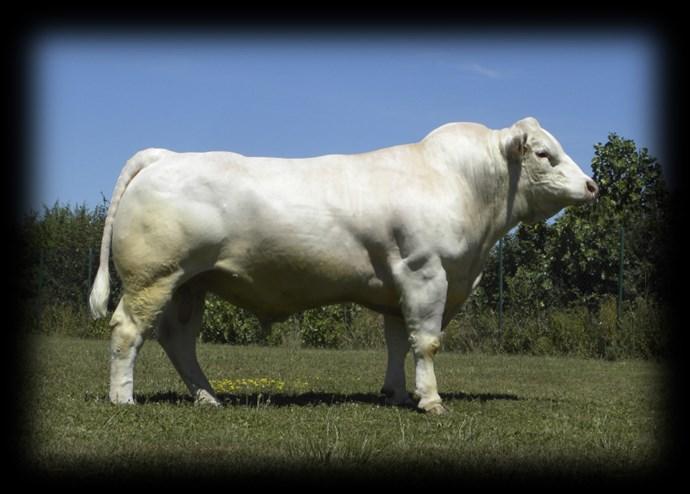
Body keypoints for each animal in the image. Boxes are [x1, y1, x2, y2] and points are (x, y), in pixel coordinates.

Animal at [89, 117, 597, 414]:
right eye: (544, 154)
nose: (592, 185)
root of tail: (166, 156)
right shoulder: (426, 273)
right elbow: (427, 342)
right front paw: (431, 400)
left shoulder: (400, 286)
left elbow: (398, 343)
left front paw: (397, 393)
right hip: (153, 277)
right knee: (128, 330)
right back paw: (123, 398)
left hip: (190, 284)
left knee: (179, 340)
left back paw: (209, 397)